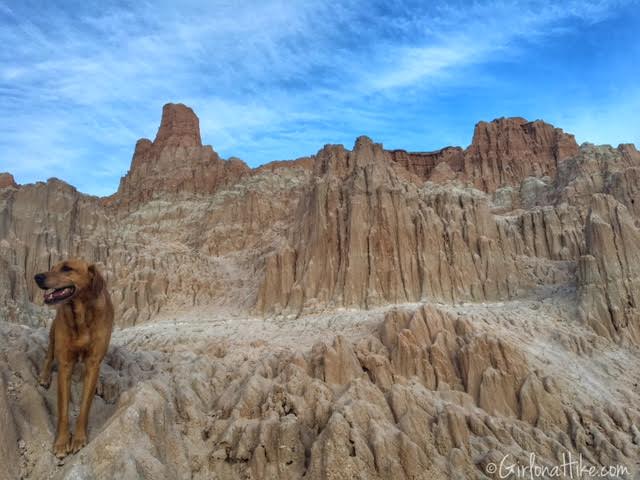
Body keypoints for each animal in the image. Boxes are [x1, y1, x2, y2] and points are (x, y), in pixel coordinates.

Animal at [34, 258, 114, 458]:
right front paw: (62, 442)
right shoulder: (65, 364)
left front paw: (78, 438)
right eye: (52, 267)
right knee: (49, 353)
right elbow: (63, 410)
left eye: (67, 268)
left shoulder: (93, 362)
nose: (37, 276)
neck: (81, 315)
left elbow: (85, 406)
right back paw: (44, 376)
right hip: (54, 331)